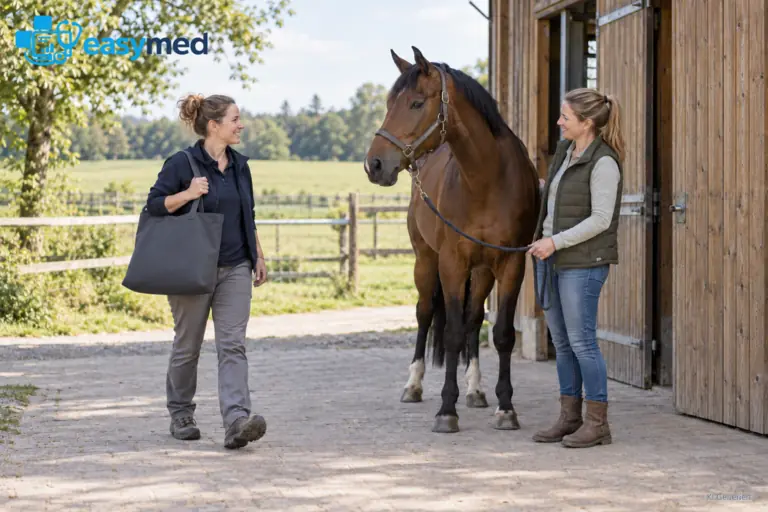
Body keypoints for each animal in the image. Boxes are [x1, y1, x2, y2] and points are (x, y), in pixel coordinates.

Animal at [363, 47, 541, 433]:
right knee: (425, 314)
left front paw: (506, 408)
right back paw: (413, 385)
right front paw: (447, 410)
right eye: (388, 102)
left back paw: (475, 390)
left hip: (482, 272)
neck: (486, 181)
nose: (374, 165)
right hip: (425, 261)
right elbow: (451, 334)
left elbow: (500, 334)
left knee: (473, 319)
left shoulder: (511, 263)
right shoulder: (451, 263)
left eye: (416, 103)